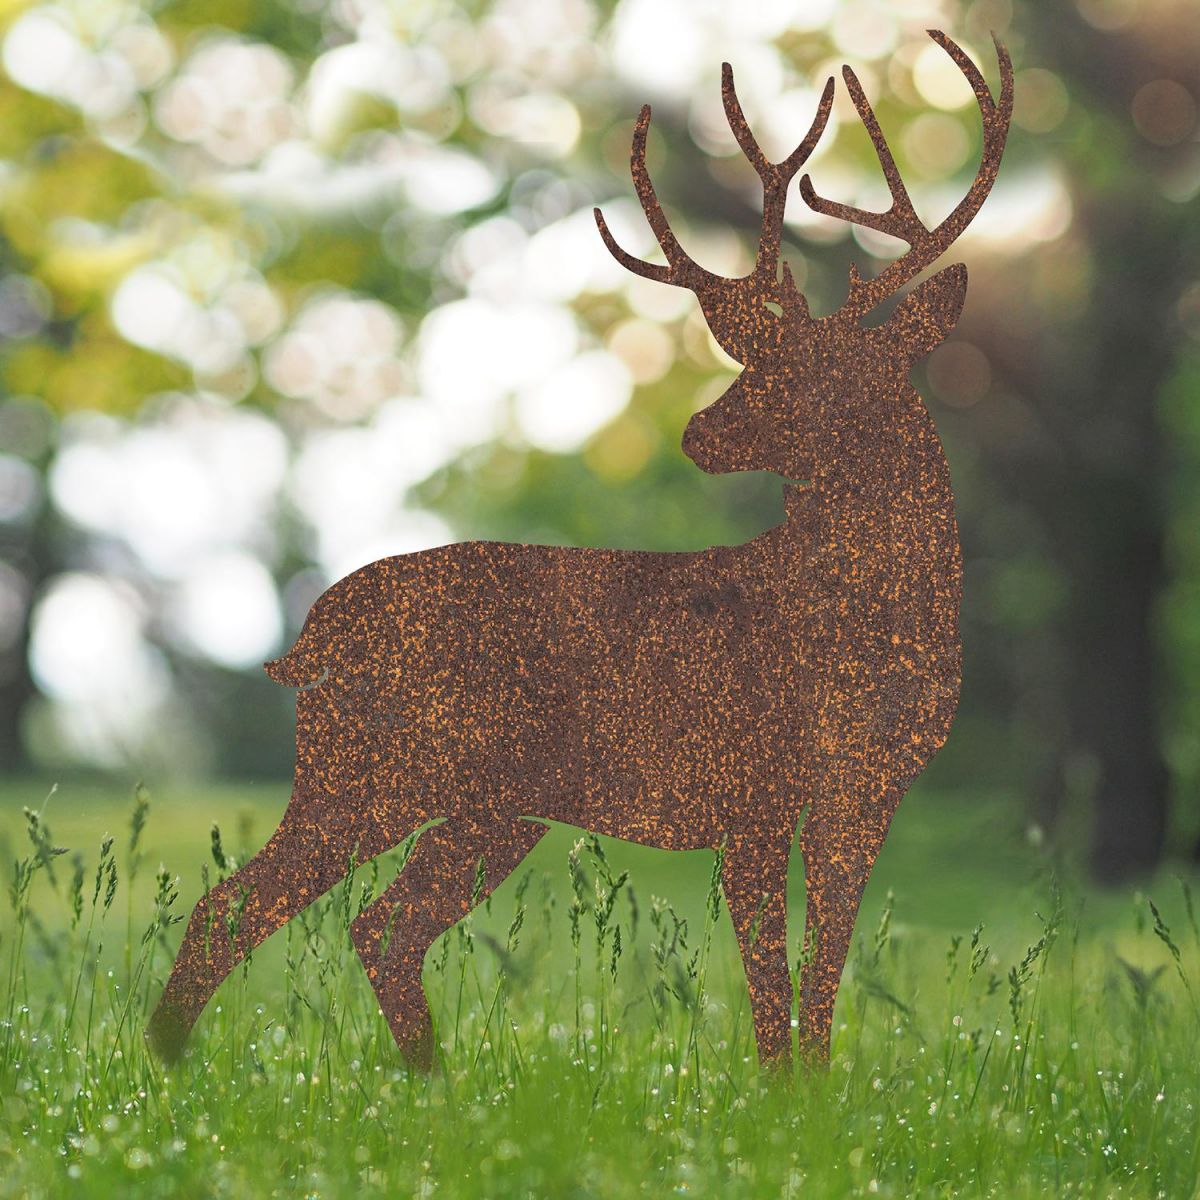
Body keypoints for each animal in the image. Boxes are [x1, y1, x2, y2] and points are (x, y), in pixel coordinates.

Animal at [148, 29, 1013, 1073]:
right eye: (755, 360)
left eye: (821, 372)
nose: (698, 434)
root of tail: (316, 632)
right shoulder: (752, 788)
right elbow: (771, 982)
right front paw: (775, 1102)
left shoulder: (866, 796)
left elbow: (822, 977)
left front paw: (815, 1097)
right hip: (365, 770)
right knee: (234, 907)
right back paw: (170, 1075)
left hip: (488, 809)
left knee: (379, 927)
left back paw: (427, 1085)